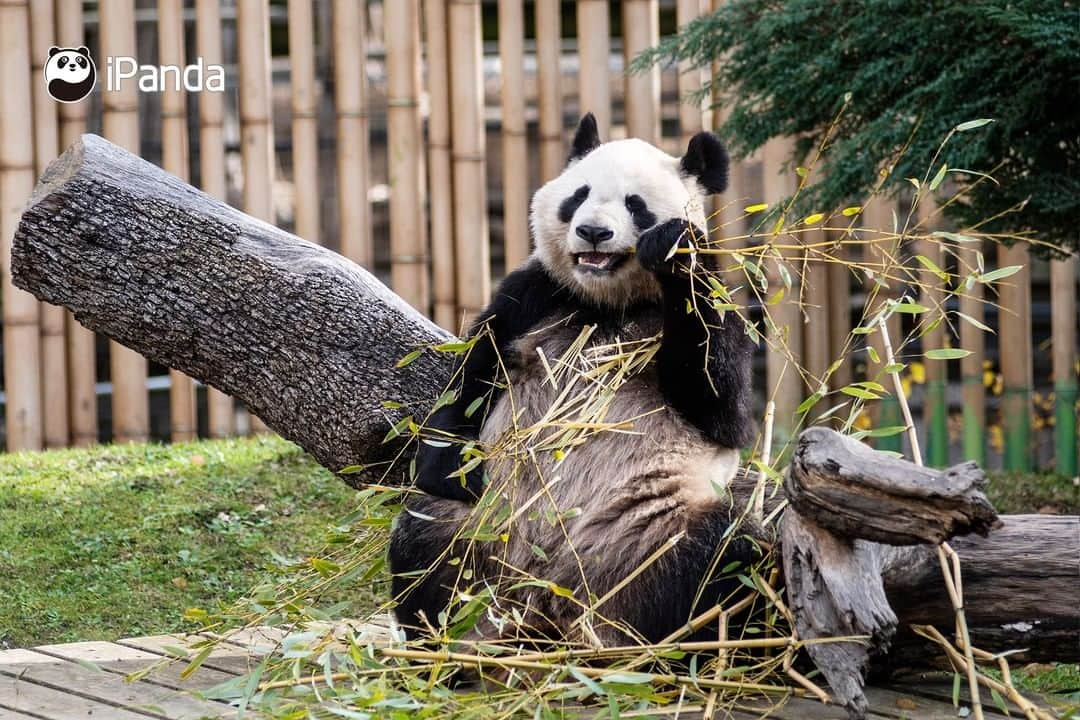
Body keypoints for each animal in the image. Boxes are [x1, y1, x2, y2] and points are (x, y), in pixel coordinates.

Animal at [388, 113, 760, 647]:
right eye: (578, 195)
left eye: (635, 205)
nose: (592, 232)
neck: (607, 301)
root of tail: (546, 599)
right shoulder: (534, 295)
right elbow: (470, 378)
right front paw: (451, 466)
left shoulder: (714, 307)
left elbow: (723, 410)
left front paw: (673, 250)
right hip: (484, 523)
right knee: (425, 538)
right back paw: (444, 639)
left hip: (646, 530)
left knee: (723, 558)